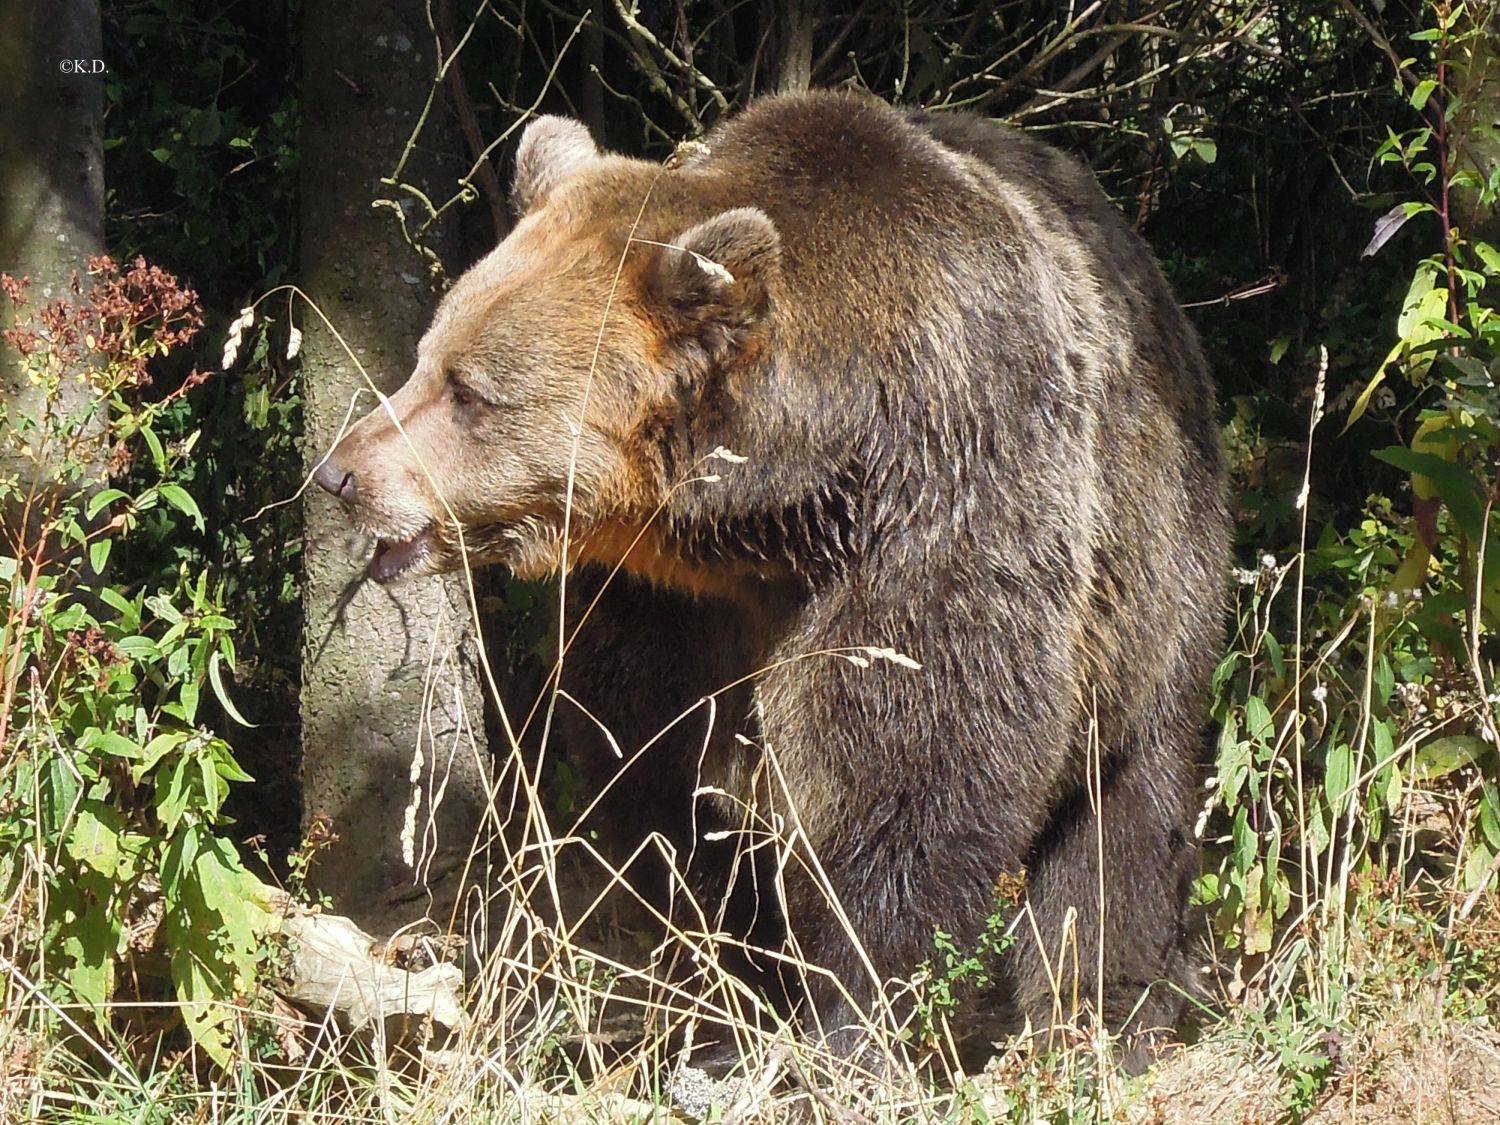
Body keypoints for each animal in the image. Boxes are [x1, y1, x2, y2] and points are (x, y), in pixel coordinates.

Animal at [316, 90, 1230, 1068]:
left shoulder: (942, 512)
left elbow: (911, 770)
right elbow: (659, 769)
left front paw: (849, 1012)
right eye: (427, 356)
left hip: (1150, 554)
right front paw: (735, 978)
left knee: (1124, 795)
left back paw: (1101, 1009)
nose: (343, 473)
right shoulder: (663, 600)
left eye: (470, 391)